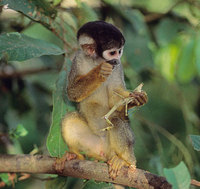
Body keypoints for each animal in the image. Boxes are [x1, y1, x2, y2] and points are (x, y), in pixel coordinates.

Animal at [61, 21, 147, 179]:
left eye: (120, 51)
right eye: (113, 52)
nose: (117, 60)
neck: (96, 60)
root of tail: (104, 151)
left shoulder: (117, 68)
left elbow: (115, 100)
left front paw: (137, 99)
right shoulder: (78, 58)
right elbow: (71, 92)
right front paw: (100, 72)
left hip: (116, 148)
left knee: (116, 120)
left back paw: (126, 162)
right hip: (92, 144)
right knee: (69, 119)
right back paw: (75, 156)